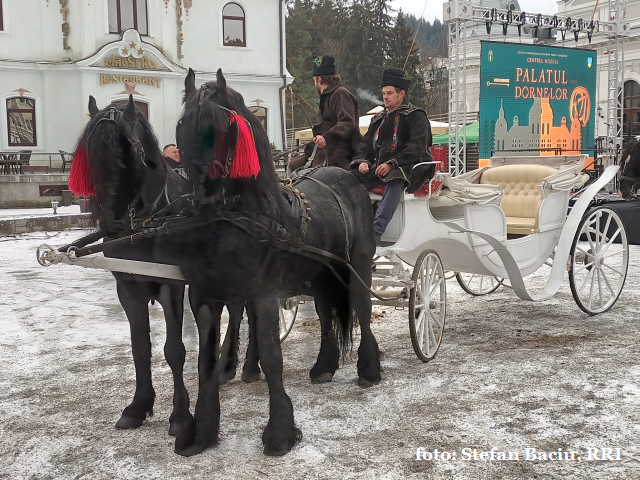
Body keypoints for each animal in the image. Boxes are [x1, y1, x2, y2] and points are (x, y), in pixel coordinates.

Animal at [150, 66, 380, 454]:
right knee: (324, 315)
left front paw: (279, 431)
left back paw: (369, 368)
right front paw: (201, 431)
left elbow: (272, 356)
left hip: (357, 268)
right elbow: (205, 361)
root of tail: (346, 176)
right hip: (320, 277)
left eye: (221, 126)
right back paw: (324, 365)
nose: (200, 199)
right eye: (183, 126)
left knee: (362, 309)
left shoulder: (263, 294)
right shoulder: (204, 296)